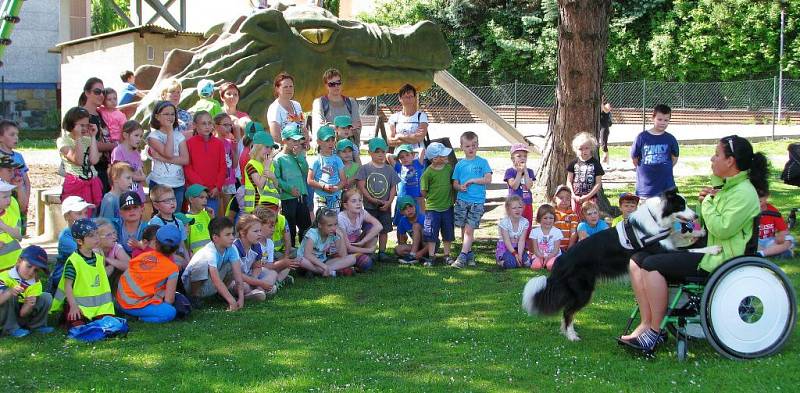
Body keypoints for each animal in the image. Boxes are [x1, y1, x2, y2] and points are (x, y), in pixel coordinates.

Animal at [520, 188, 720, 340]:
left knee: (567, 311)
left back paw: (567, 331)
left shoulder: (668, 241)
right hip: (583, 291)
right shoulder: (661, 252)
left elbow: (679, 236)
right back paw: (571, 336)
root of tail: (561, 260)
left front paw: (699, 233)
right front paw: (713, 248)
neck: (656, 218)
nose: (696, 215)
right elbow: (690, 251)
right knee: (568, 311)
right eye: (681, 205)